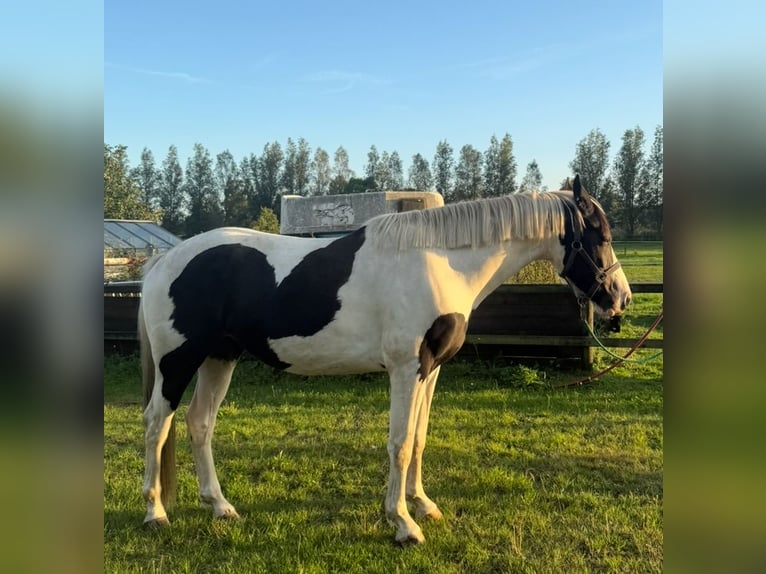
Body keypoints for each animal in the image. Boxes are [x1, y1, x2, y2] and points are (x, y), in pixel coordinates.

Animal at [139, 175, 631, 545]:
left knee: (199, 423)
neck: (440, 261)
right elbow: (399, 443)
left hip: (219, 357)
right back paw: (155, 512)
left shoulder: (430, 371)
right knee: (156, 423)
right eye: (601, 236)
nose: (619, 298)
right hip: (178, 361)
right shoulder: (405, 369)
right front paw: (403, 524)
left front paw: (423, 505)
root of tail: (164, 261)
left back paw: (220, 506)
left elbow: (419, 438)